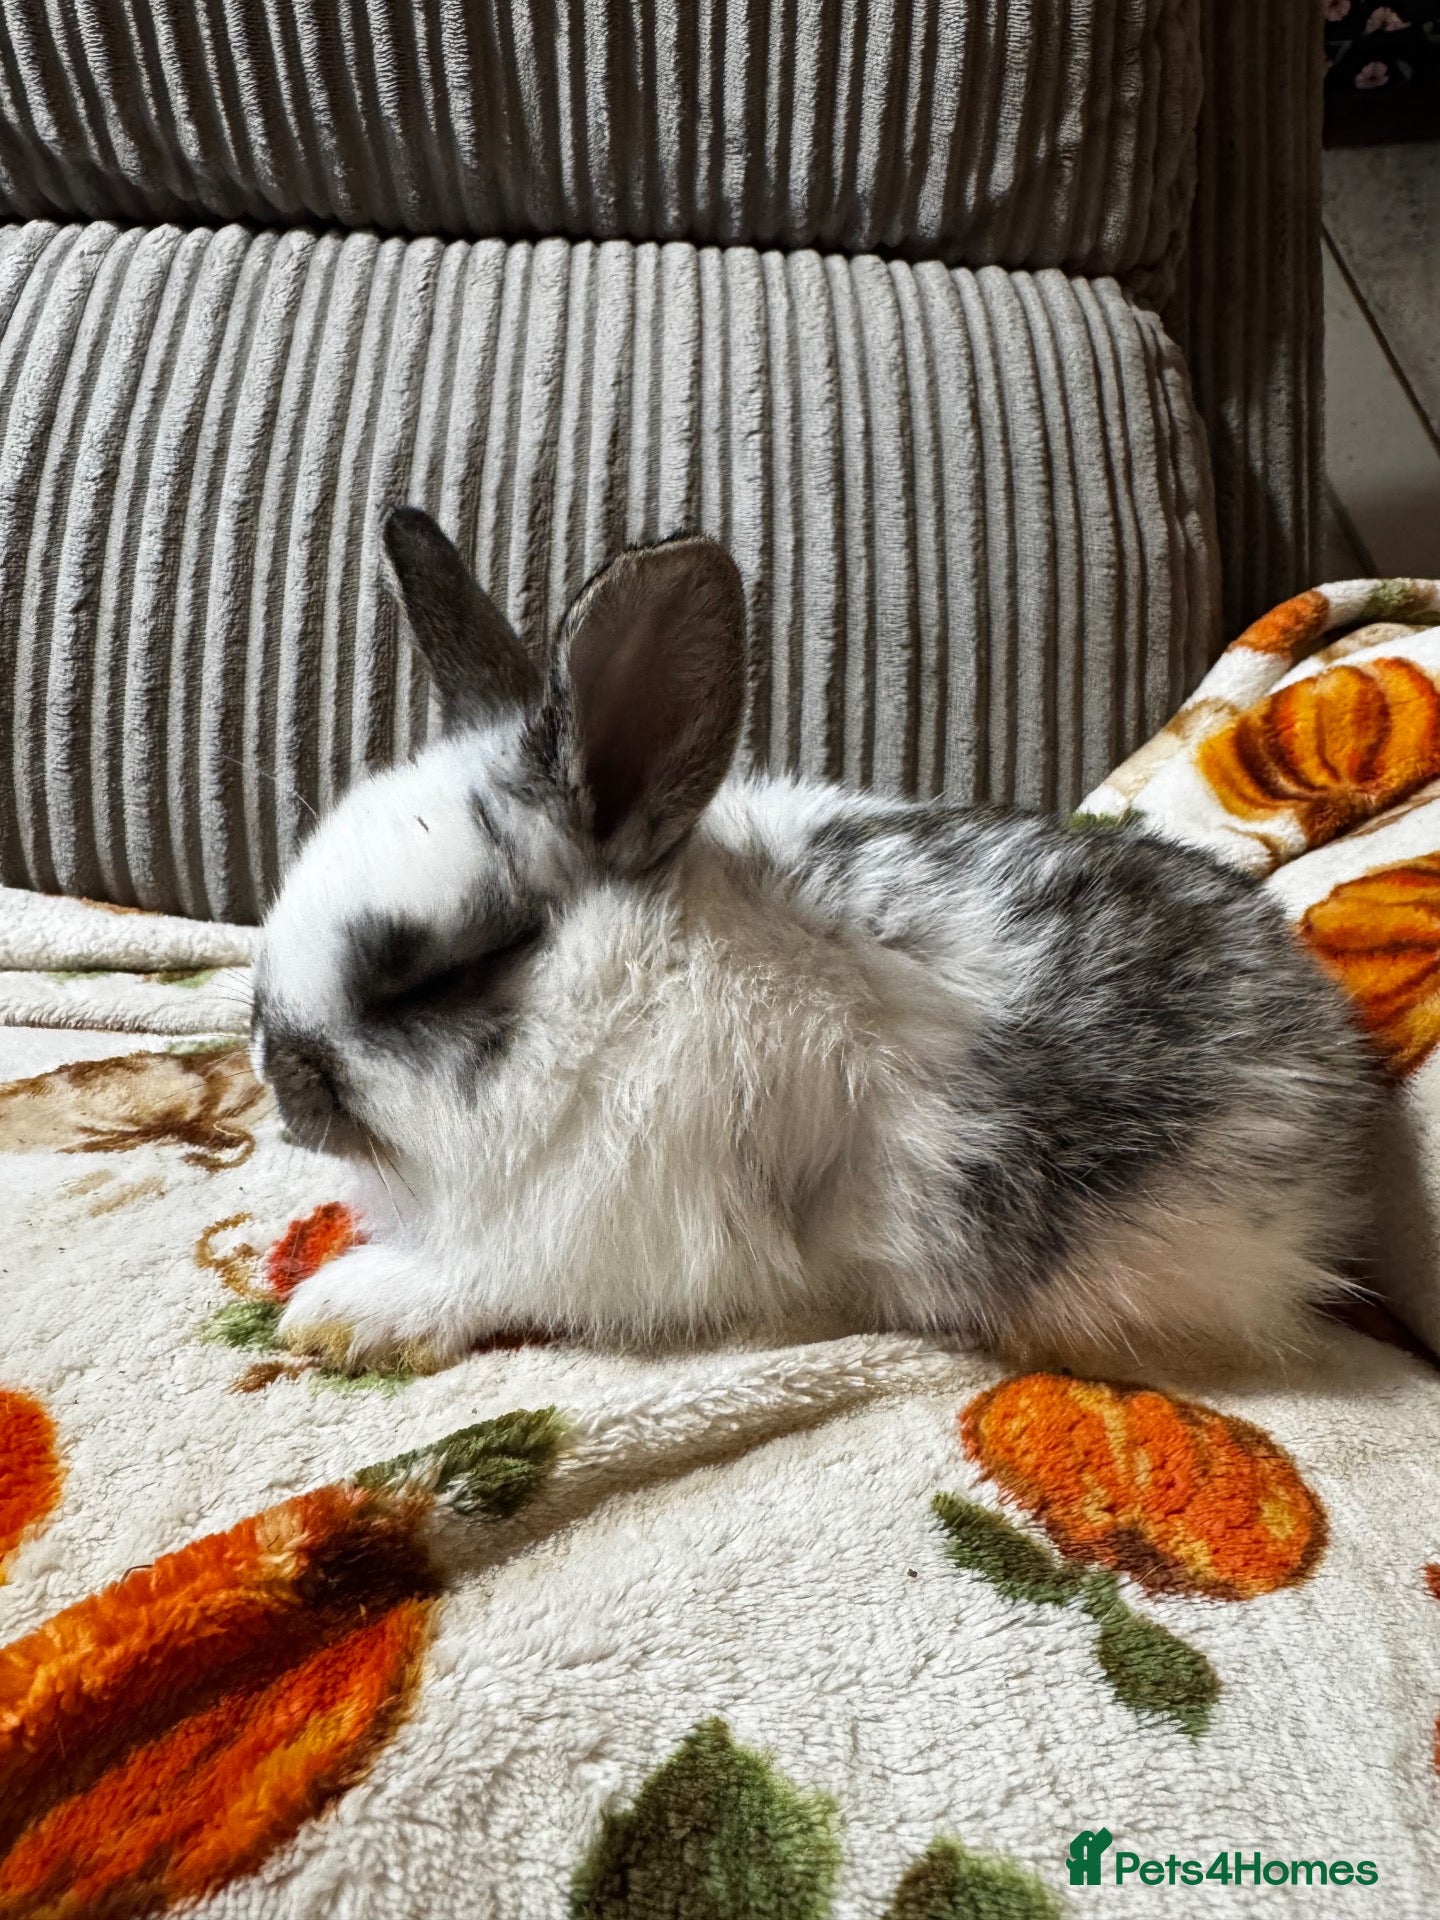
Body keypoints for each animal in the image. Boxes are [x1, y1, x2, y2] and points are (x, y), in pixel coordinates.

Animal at [252, 507, 1384, 1377]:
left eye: (441, 977)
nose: (280, 1080)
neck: (632, 1000)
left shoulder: (599, 1235)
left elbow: (486, 1275)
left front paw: (344, 1310)